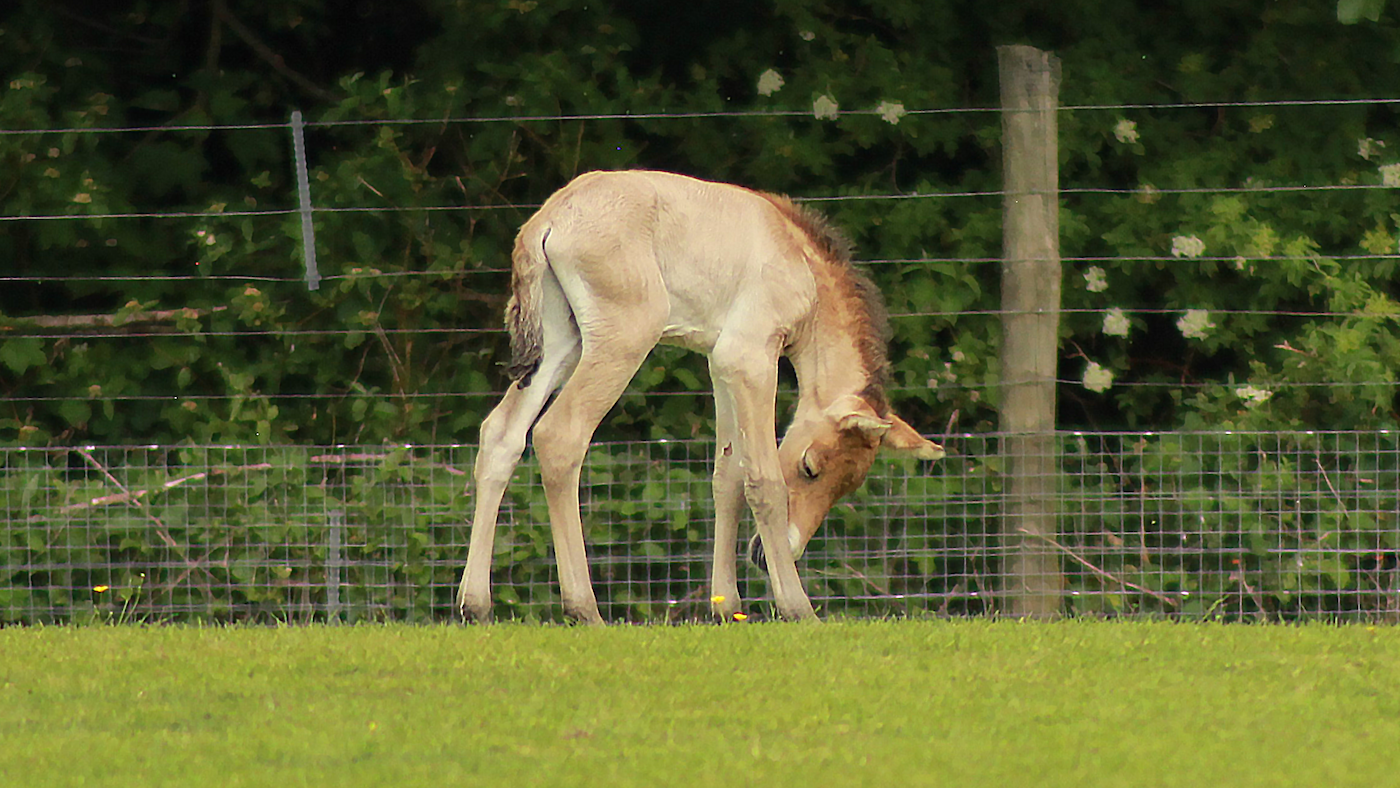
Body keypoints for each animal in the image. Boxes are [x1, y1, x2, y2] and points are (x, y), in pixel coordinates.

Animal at [457, 170, 944, 624]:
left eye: (849, 485)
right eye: (810, 468)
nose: (768, 555)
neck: (800, 260)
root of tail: (549, 219)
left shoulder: (719, 362)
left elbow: (728, 475)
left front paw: (727, 606)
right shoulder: (750, 358)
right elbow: (763, 480)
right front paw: (797, 608)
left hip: (561, 342)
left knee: (501, 435)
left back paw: (475, 605)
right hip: (623, 338)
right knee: (560, 436)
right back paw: (584, 609)